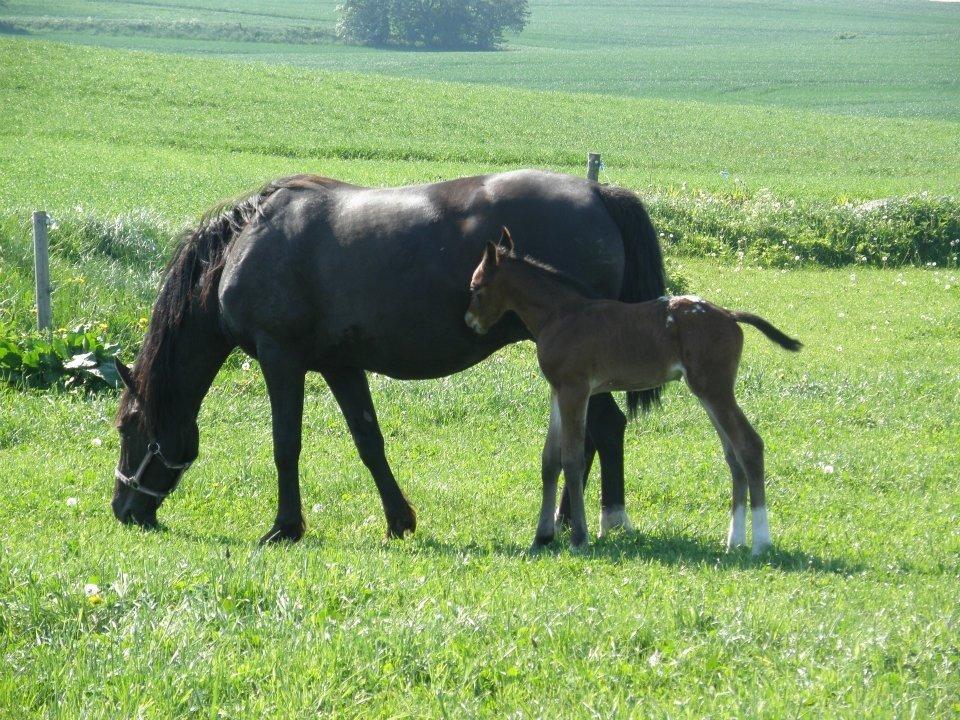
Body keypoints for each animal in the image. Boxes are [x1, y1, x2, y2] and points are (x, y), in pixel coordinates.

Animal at [110, 170, 668, 540]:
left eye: (126, 426)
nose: (123, 508)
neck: (246, 244)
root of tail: (599, 193)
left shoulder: (280, 358)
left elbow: (285, 445)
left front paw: (285, 527)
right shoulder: (340, 366)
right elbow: (368, 441)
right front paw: (399, 520)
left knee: (605, 428)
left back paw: (604, 519)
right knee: (592, 432)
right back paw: (567, 520)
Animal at [464, 228, 804, 556]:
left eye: (475, 287)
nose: (470, 322)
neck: (560, 314)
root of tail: (730, 315)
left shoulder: (575, 389)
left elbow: (571, 459)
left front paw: (578, 538)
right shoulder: (556, 391)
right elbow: (549, 460)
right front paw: (541, 538)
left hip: (714, 389)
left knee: (749, 445)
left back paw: (760, 543)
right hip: (707, 391)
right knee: (732, 454)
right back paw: (735, 541)